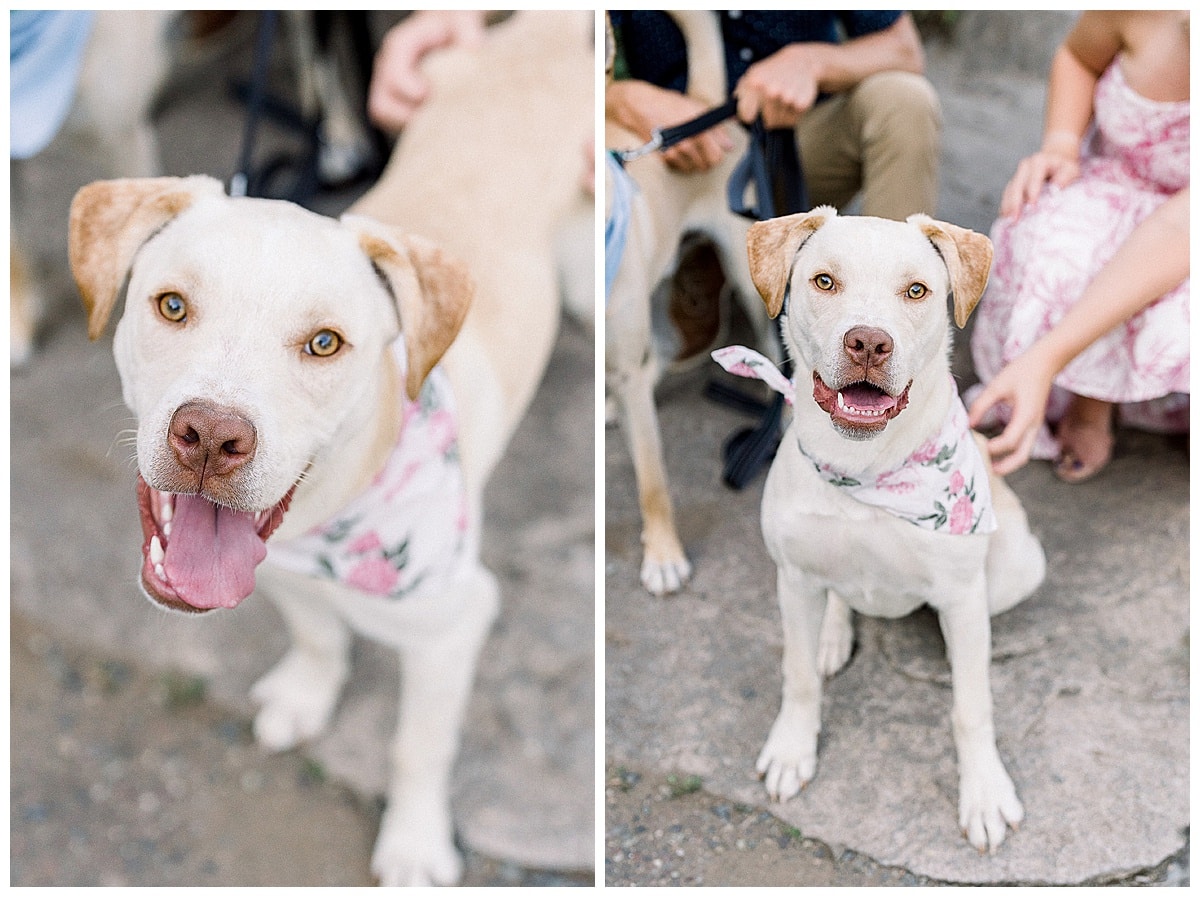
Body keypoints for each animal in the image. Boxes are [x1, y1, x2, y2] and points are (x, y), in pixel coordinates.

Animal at [68, 10, 592, 887]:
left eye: (324, 343)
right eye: (171, 304)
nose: (210, 436)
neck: (331, 512)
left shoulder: (453, 625)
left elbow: (418, 746)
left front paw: (413, 843)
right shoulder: (281, 568)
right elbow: (316, 633)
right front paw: (307, 696)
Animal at [720, 206, 1051, 853]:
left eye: (916, 291)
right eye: (824, 281)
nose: (869, 342)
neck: (866, 469)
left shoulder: (961, 595)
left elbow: (971, 707)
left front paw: (984, 793)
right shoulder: (794, 577)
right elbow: (798, 676)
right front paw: (792, 749)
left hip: (1014, 569)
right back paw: (832, 634)